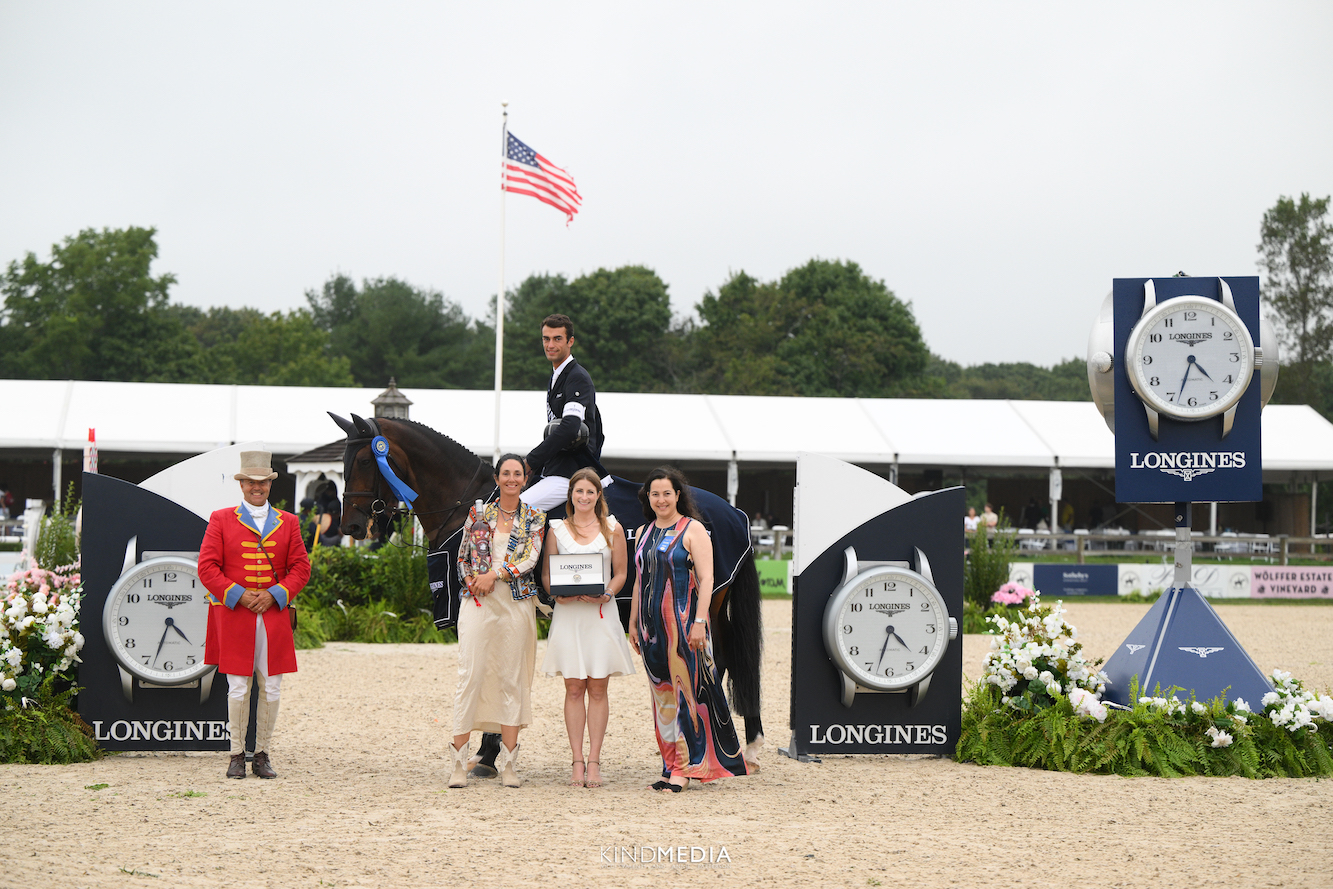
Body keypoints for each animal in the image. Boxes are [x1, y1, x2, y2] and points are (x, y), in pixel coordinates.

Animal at [327, 413, 767, 773]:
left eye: (364, 461)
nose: (351, 525)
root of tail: (733, 511)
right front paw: (489, 751)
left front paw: (488, 753)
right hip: (713, 605)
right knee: (728, 657)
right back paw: (743, 747)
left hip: (702, 602)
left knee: (714, 661)